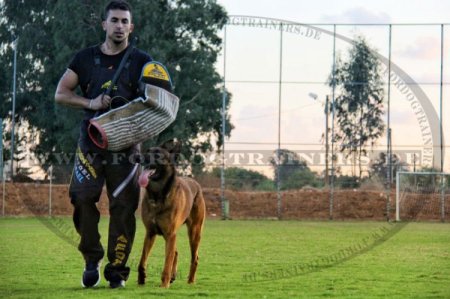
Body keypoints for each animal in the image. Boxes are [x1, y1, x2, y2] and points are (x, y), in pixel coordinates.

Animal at [137, 142, 206, 290]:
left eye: (157, 154)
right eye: (147, 150)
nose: (137, 157)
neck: (158, 195)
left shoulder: (170, 234)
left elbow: (167, 263)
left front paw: (164, 284)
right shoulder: (150, 233)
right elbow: (142, 260)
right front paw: (141, 280)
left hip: (194, 232)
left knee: (194, 258)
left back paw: (190, 281)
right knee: (176, 252)